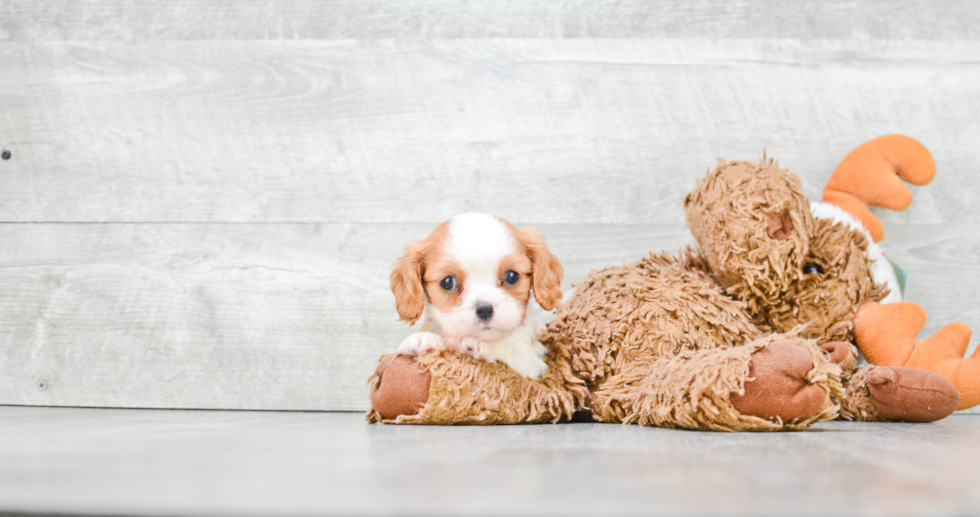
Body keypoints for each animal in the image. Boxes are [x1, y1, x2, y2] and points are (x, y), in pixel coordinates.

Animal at [388, 212, 564, 376]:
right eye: (447, 282)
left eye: (512, 276)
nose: (485, 309)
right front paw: (423, 339)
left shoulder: (532, 365)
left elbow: (510, 352)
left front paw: (475, 345)